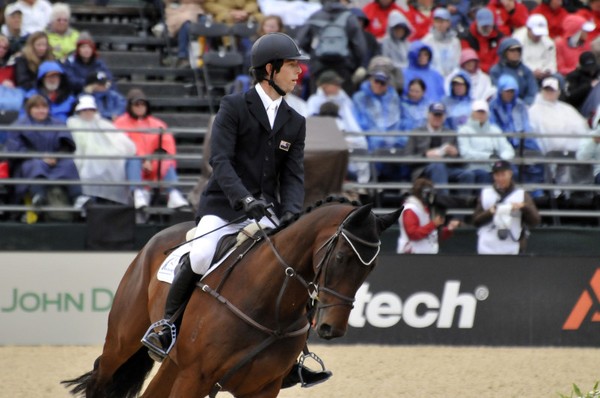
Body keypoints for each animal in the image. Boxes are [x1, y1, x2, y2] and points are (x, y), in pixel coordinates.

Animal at [63, 197, 400, 396]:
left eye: (371, 268)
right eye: (341, 257)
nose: (332, 328)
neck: (270, 307)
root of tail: (157, 237)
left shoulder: (262, 388)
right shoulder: (194, 377)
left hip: (174, 365)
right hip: (123, 340)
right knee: (103, 375)